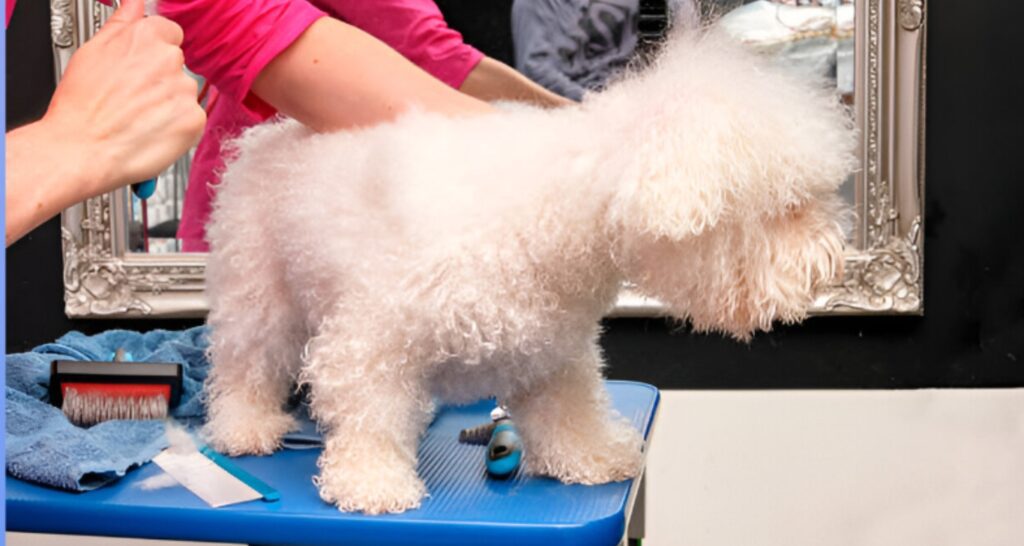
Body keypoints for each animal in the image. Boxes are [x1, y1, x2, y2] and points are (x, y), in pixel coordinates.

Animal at [199, 24, 856, 510]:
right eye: (787, 207)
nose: (830, 264)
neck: (555, 210)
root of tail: (264, 137)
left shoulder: (553, 350)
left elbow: (570, 412)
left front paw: (594, 455)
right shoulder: (371, 343)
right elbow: (370, 418)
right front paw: (371, 482)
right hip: (259, 292)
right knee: (246, 366)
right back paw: (244, 427)